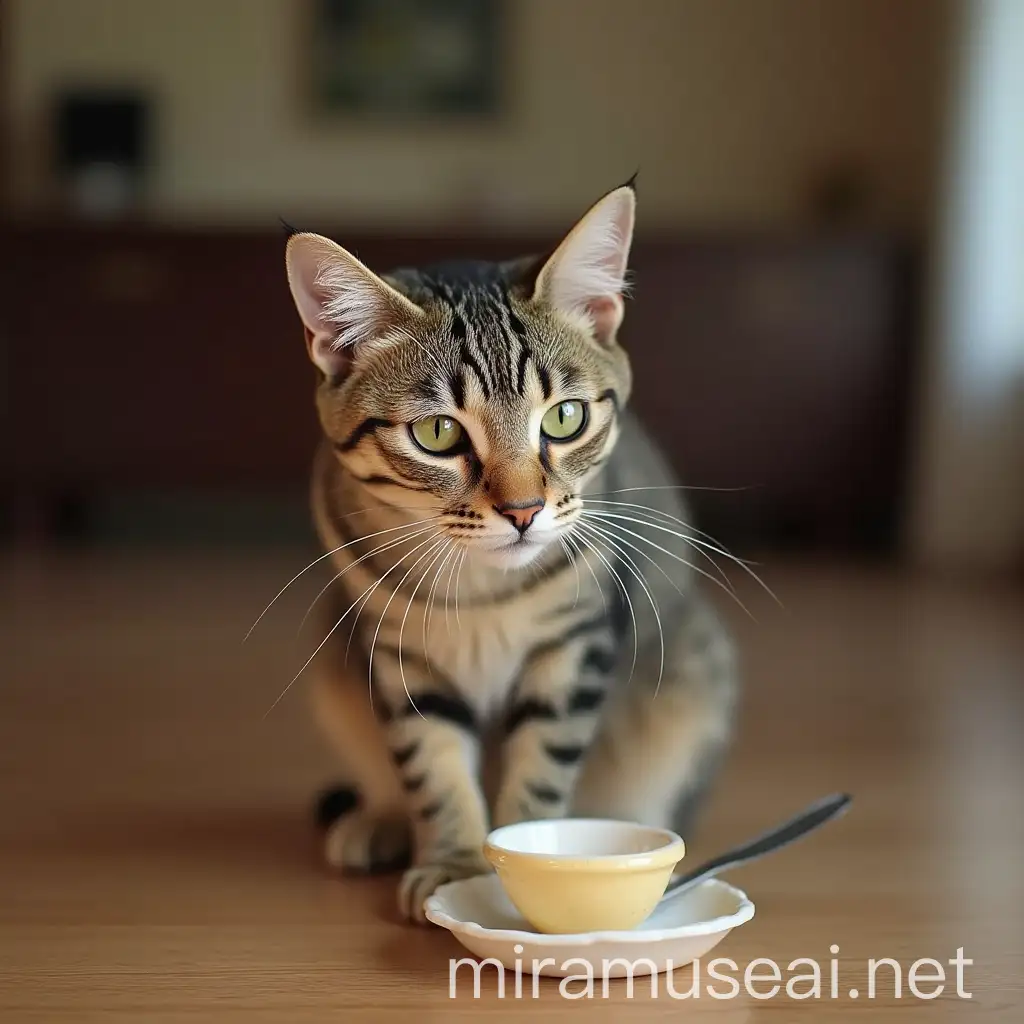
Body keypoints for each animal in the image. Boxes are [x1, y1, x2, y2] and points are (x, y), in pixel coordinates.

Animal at [284, 180, 741, 925]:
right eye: (438, 433)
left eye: (565, 418)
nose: (524, 511)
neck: (483, 592)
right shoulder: (399, 656)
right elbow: (432, 766)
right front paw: (453, 863)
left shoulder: (575, 646)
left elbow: (542, 767)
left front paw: (527, 860)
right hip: (334, 670)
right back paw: (379, 820)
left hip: (695, 682)